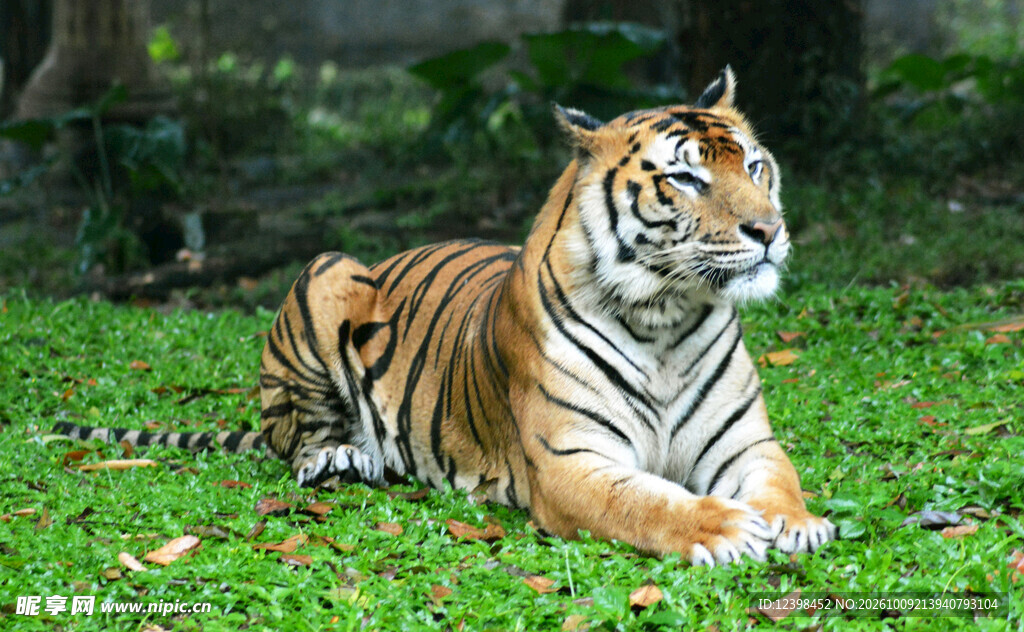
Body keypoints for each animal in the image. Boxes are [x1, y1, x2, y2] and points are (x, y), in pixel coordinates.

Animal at [55, 67, 836, 566]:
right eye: (684, 177)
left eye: (755, 167)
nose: (770, 230)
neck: (664, 318)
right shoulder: (573, 462)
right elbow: (650, 505)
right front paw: (724, 527)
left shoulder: (745, 444)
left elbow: (781, 480)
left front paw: (798, 524)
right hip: (326, 271)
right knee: (290, 434)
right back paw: (340, 455)